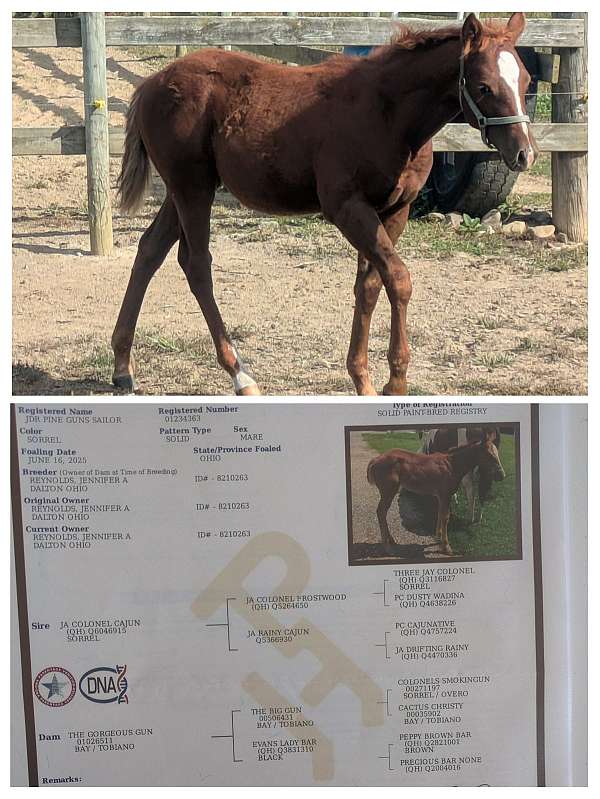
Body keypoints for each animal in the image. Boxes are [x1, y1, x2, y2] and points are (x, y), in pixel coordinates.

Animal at [112, 13, 537, 396]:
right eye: (483, 87)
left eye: (526, 80)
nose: (524, 154)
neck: (386, 114)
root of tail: (151, 83)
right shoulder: (346, 208)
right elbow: (399, 278)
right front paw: (396, 381)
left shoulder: (394, 211)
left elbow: (370, 285)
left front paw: (363, 378)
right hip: (192, 187)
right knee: (196, 263)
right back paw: (240, 374)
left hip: (183, 190)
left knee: (149, 250)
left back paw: (122, 366)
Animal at [367, 430, 505, 556]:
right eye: (489, 454)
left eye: (497, 453)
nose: (501, 475)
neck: (452, 465)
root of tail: (375, 460)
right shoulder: (446, 495)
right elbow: (445, 517)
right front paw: (446, 546)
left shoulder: (440, 495)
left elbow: (440, 514)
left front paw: (438, 536)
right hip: (388, 491)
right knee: (381, 512)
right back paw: (388, 548)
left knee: (382, 512)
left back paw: (391, 541)